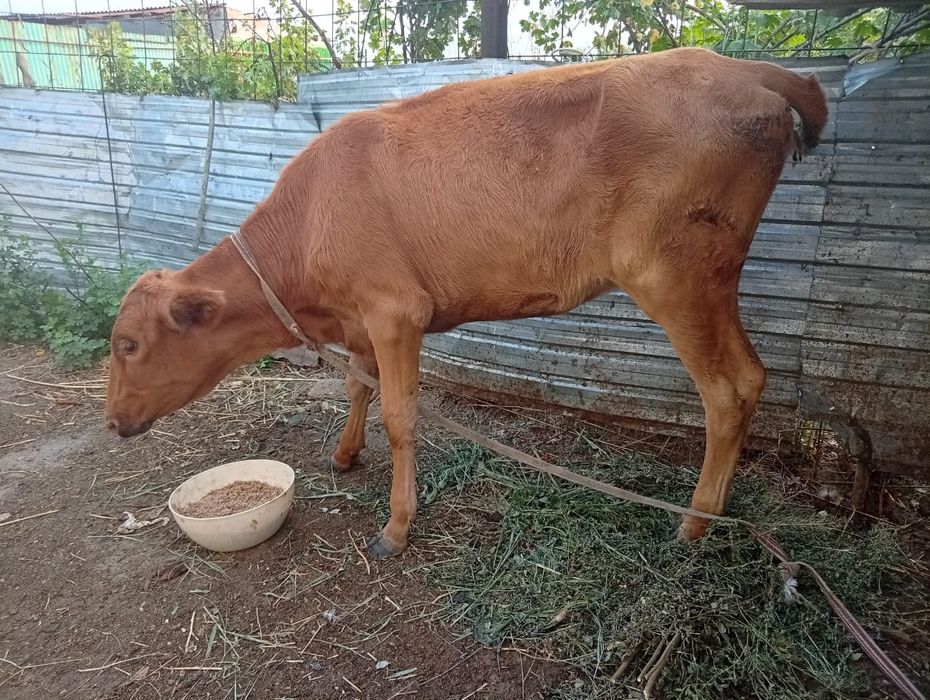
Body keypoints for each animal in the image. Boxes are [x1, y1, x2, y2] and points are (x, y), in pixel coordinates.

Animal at [105, 47, 828, 558]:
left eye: (129, 344)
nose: (111, 421)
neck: (309, 221)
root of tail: (739, 66)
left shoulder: (397, 310)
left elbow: (399, 414)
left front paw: (397, 526)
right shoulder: (361, 315)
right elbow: (357, 384)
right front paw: (344, 454)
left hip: (674, 274)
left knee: (728, 389)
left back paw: (694, 524)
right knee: (751, 378)